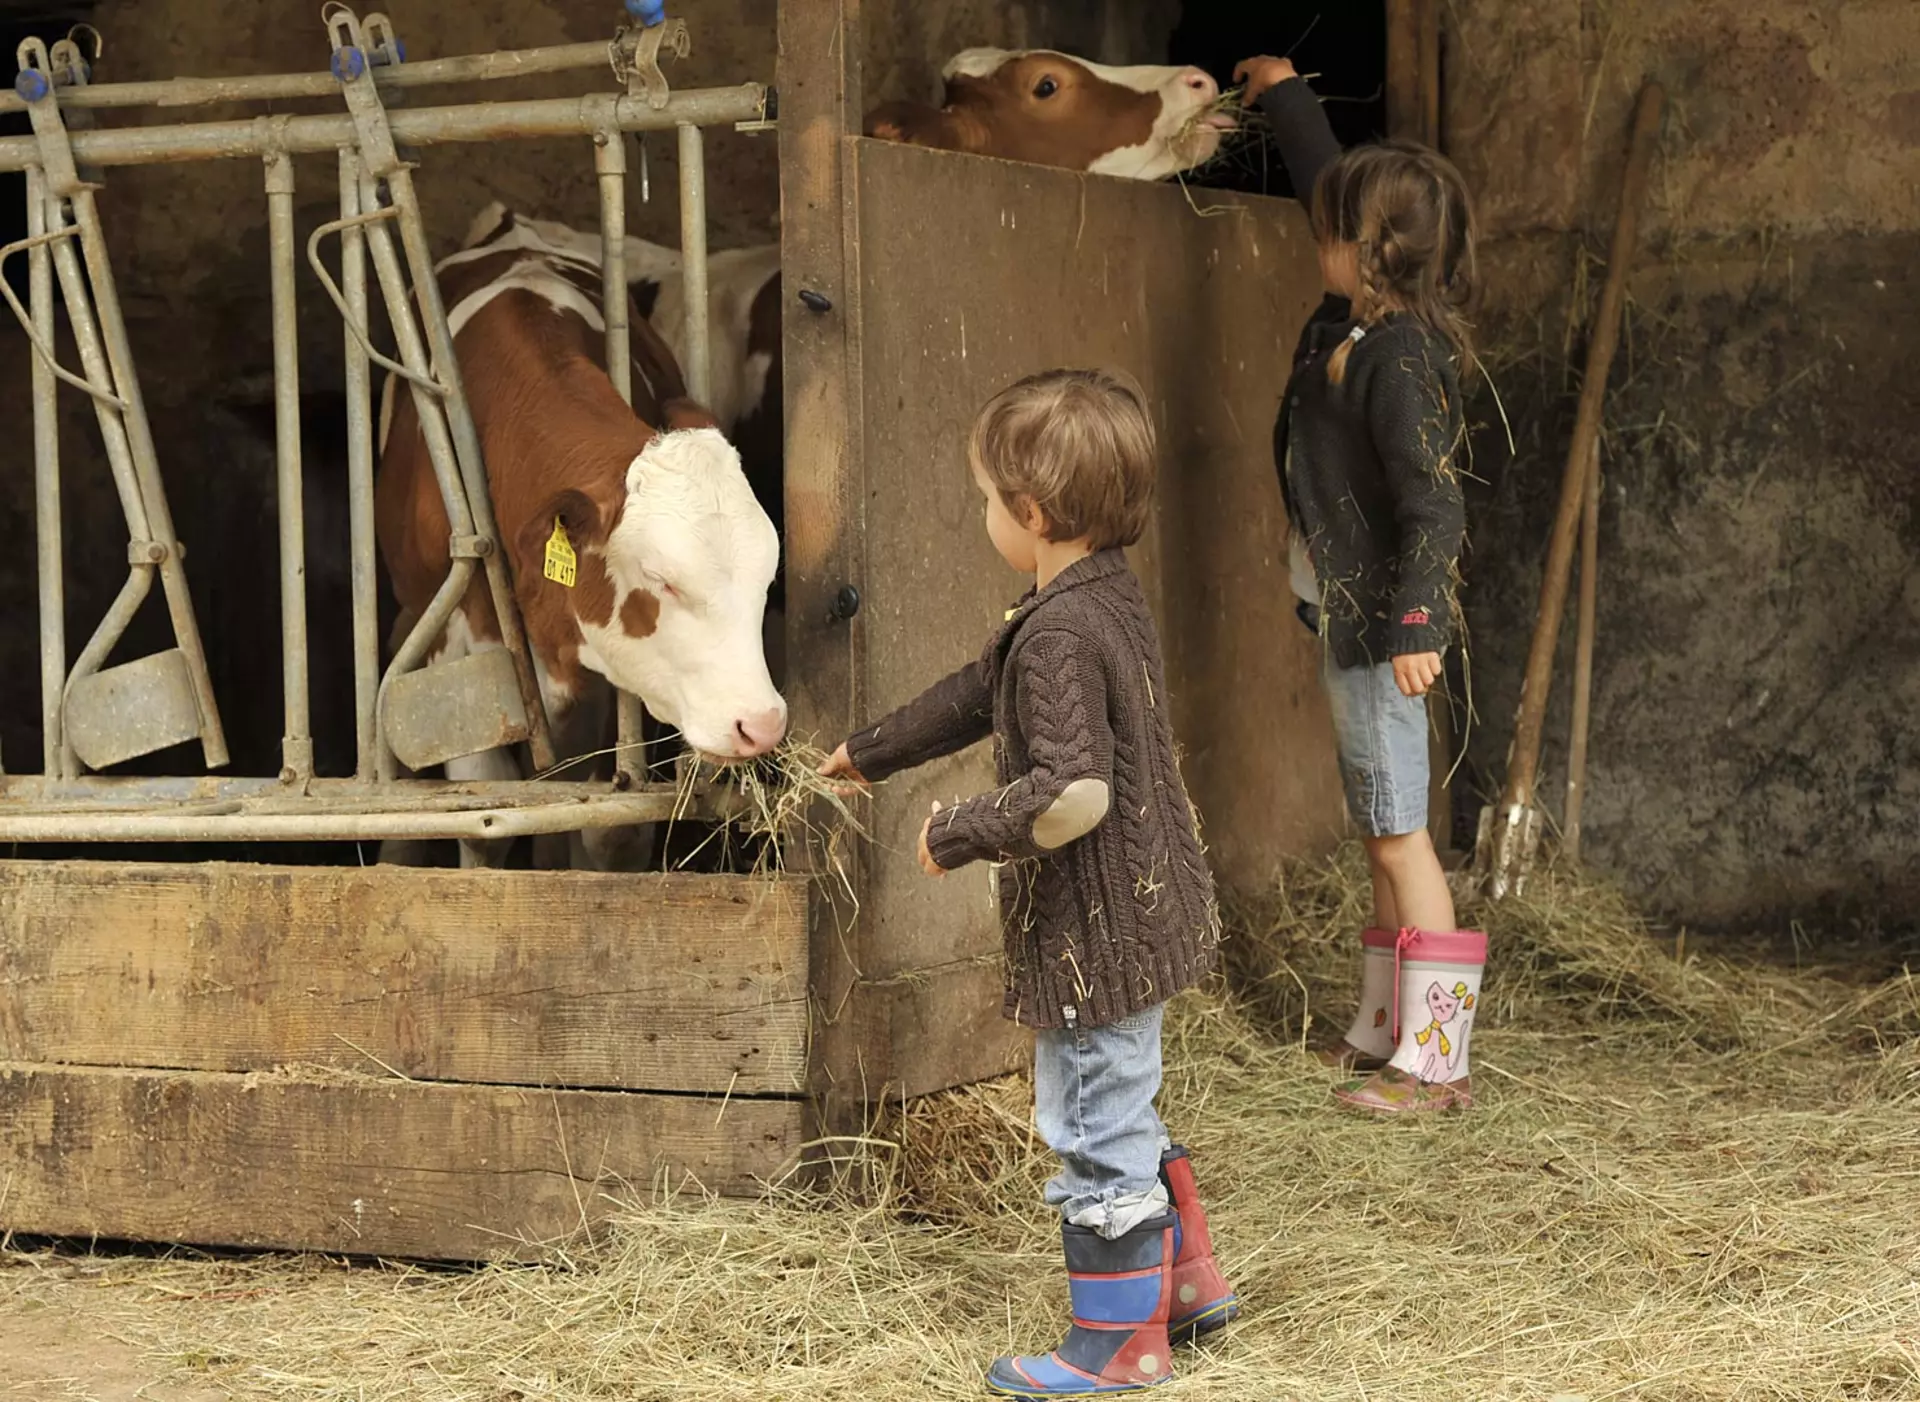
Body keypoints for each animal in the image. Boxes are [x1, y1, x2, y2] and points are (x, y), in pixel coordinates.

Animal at [374, 209, 779, 864]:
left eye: (766, 578)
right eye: (662, 580)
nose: (762, 724)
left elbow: (605, 825)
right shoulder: (461, 667)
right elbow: (484, 820)